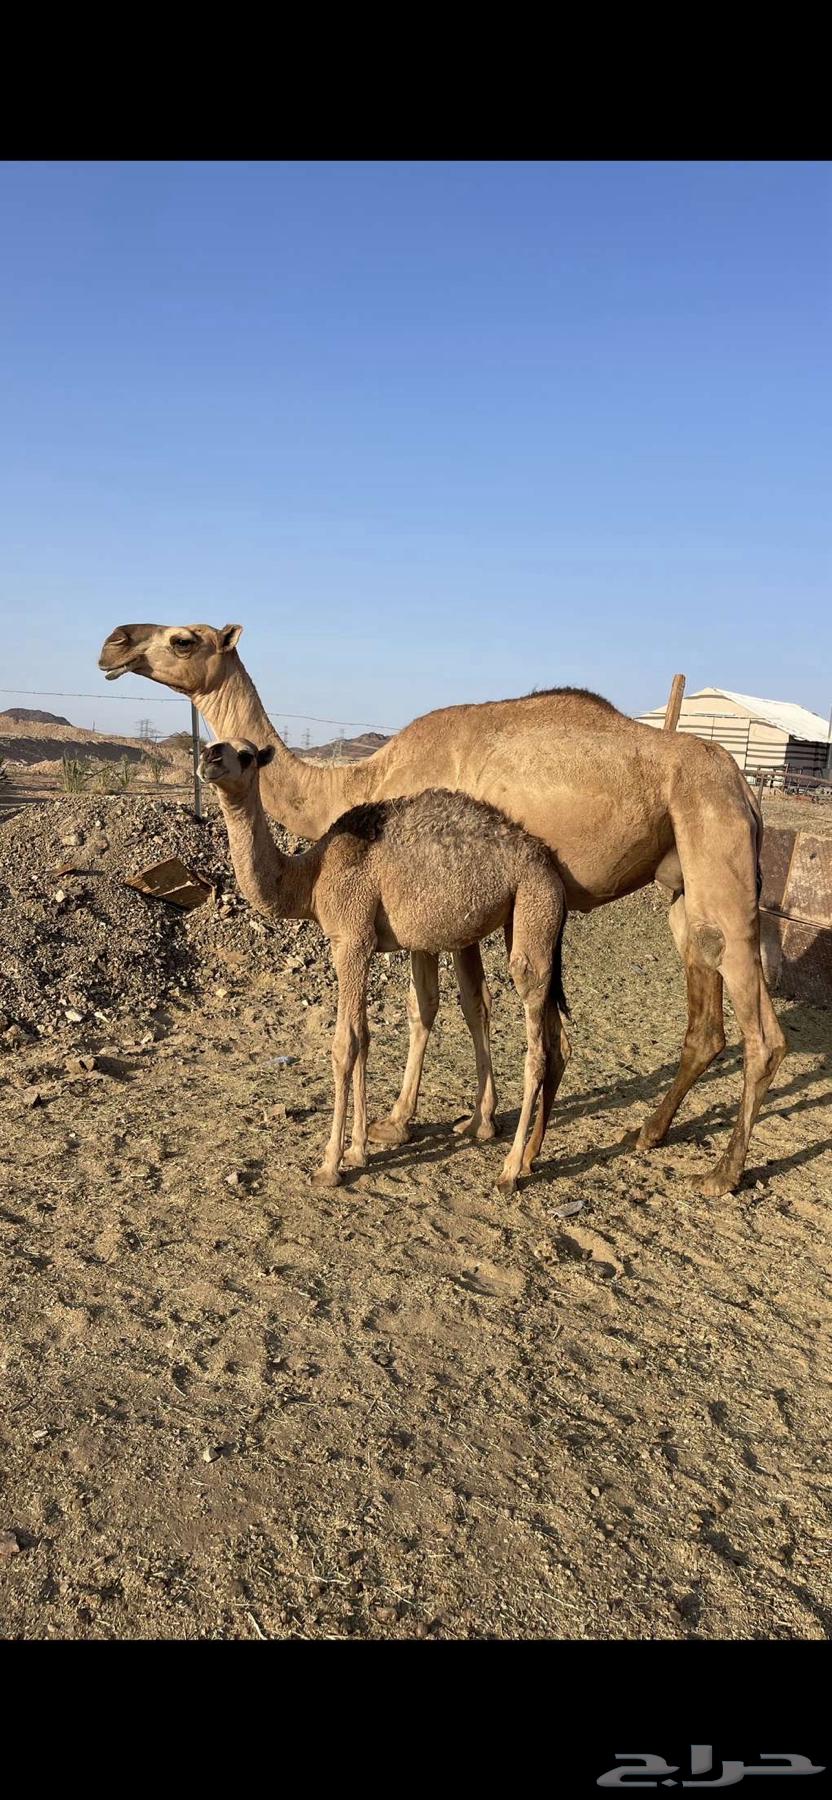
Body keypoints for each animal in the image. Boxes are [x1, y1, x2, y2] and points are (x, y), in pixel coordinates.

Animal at [198, 738, 569, 1192]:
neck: (311, 878)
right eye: (212, 745)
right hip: (525, 920)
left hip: (534, 907)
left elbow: (346, 1045)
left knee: (535, 1043)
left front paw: (330, 1165)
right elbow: (365, 1037)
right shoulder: (363, 943)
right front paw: (358, 1148)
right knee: (545, 1032)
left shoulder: (350, 939)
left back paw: (510, 1170)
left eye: (246, 755)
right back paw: (523, 1152)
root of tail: (550, 865)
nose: (211, 757)